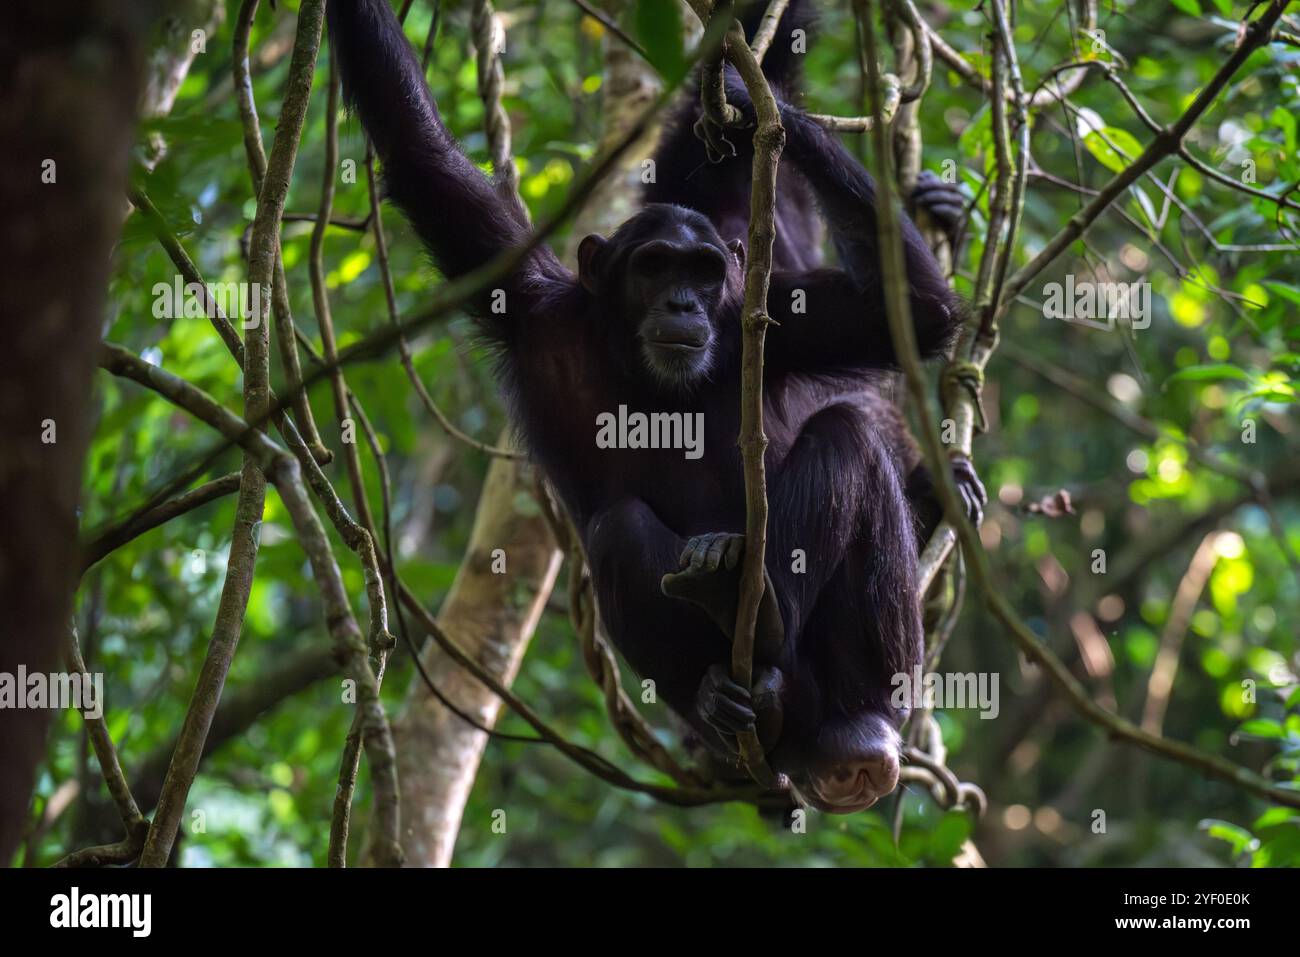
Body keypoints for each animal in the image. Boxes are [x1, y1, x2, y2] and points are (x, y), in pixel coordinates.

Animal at [327, 0, 982, 816]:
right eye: (654, 266)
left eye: (701, 271)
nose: (682, 303)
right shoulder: (530, 301)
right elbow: (420, 154)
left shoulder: (775, 318)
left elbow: (908, 313)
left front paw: (763, 105)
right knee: (619, 530)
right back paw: (731, 694)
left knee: (849, 438)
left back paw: (845, 704)